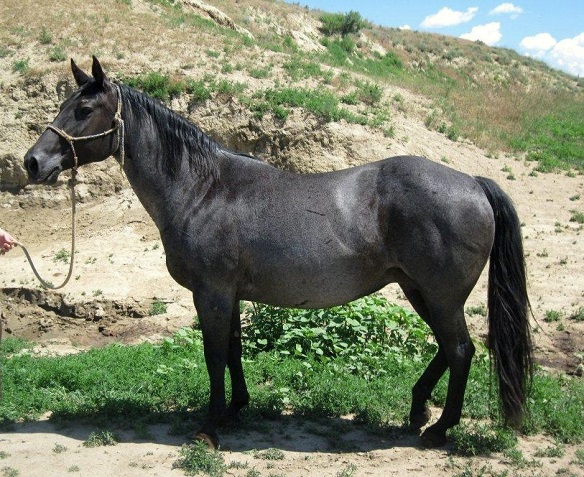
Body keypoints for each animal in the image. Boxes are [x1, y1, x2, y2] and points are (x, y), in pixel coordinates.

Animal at [24, 57, 532, 448]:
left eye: (84, 109)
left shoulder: (211, 293)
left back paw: (439, 428)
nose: (32, 162)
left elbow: (214, 355)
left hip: (440, 295)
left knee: (460, 350)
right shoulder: (227, 295)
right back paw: (418, 409)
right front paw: (236, 408)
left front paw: (209, 427)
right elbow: (232, 350)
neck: (203, 190)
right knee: (450, 349)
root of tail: (473, 183)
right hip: (419, 290)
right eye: (64, 105)